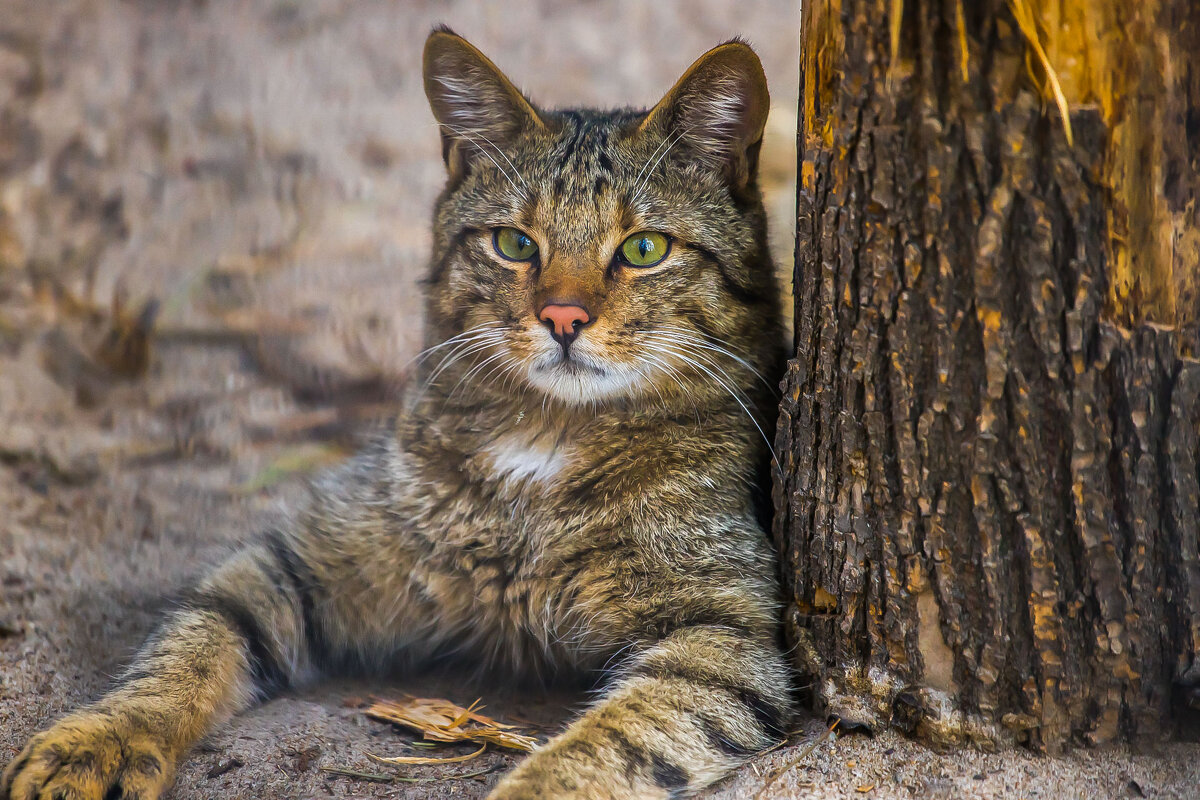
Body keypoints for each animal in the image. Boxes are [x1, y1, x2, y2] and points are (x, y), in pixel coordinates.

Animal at [2, 26, 796, 800]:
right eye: (515, 243)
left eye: (644, 248)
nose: (562, 318)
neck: (547, 439)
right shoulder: (300, 561)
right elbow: (191, 641)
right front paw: (100, 741)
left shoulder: (725, 638)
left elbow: (609, 740)